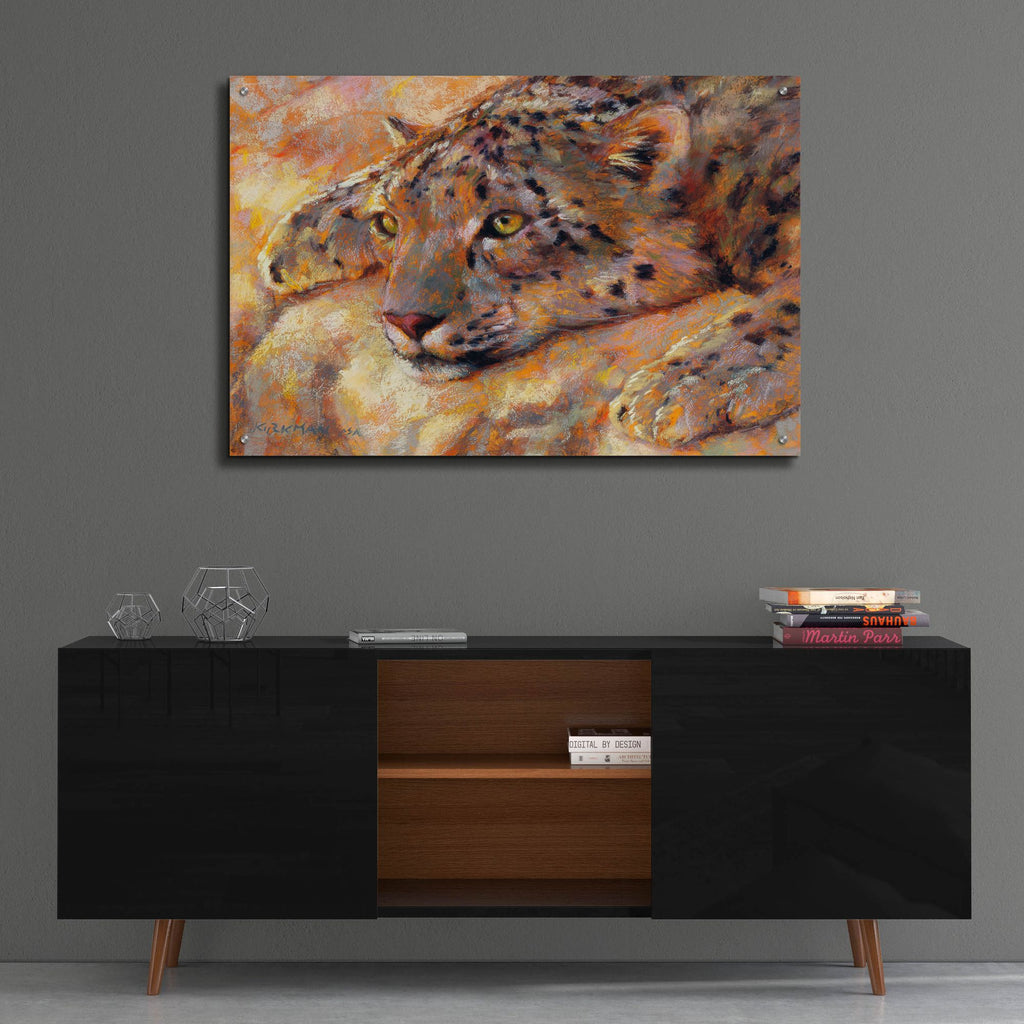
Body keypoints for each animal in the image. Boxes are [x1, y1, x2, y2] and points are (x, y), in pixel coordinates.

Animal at [258, 75, 800, 448]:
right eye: (389, 224)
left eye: (504, 222)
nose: (405, 320)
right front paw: (294, 237)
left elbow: (789, 307)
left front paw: (674, 388)